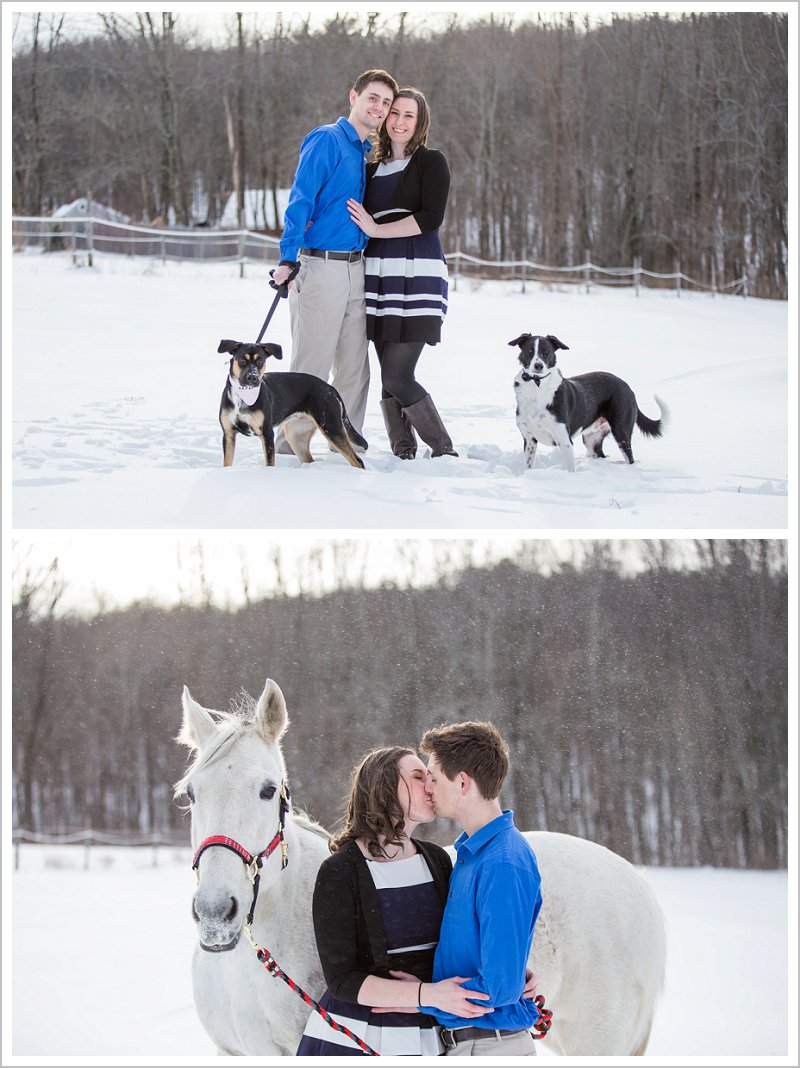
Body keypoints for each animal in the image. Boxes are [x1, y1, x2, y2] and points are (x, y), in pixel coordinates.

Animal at [218, 339, 367, 469]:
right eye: (242, 360)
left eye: (260, 360)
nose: (253, 378)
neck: (243, 396)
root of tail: (330, 388)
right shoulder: (228, 433)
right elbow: (227, 463)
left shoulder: (267, 433)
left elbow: (269, 463)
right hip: (295, 434)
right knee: (309, 459)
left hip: (331, 427)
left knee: (358, 461)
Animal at [508, 331, 666, 469]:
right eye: (529, 351)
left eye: (546, 352)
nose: (538, 365)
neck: (537, 386)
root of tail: (627, 387)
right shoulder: (529, 439)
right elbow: (528, 467)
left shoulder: (564, 440)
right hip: (591, 440)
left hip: (621, 432)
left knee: (629, 457)